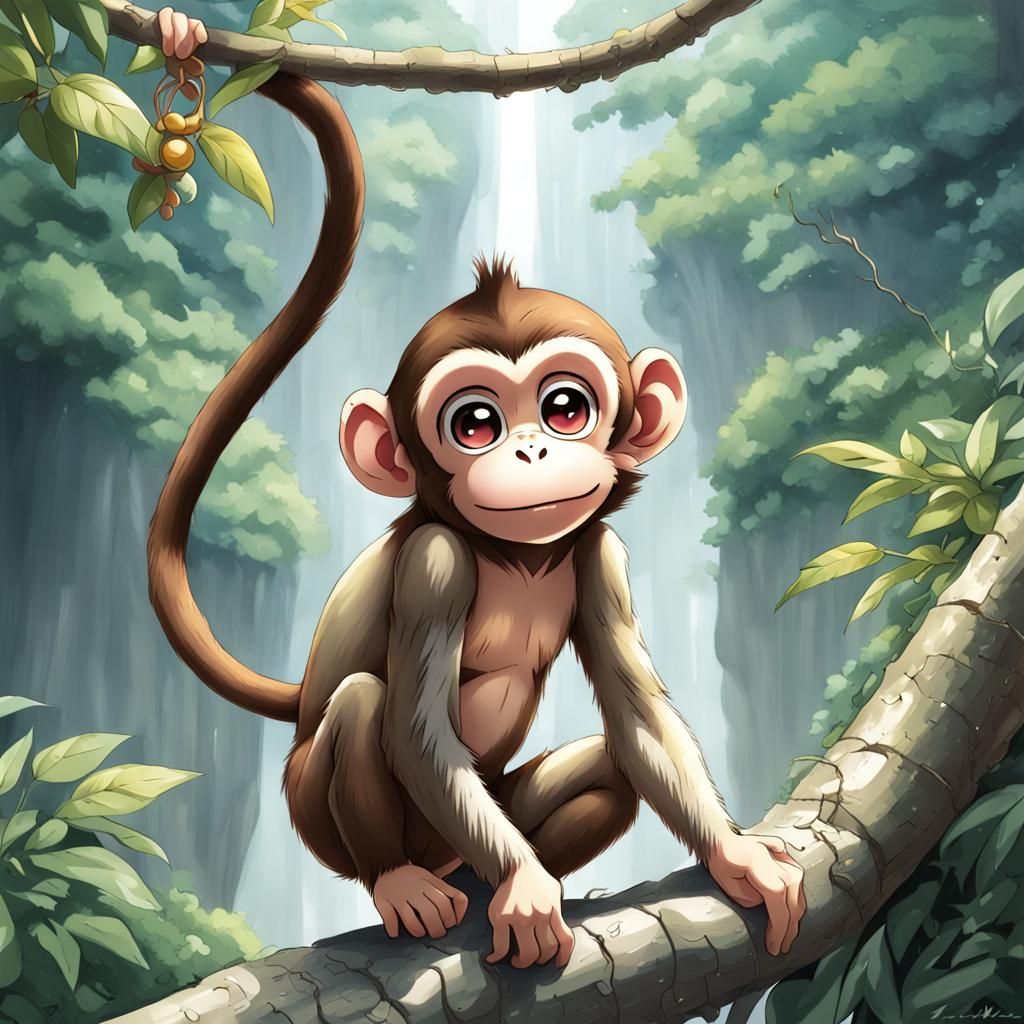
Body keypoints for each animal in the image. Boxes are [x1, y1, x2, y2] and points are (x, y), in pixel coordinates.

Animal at [148, 10, 806, 971]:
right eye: (475, 424)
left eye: (566, 408)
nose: (530, 451)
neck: (513, 557)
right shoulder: (432, 563)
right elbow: (417, 730)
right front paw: (527, 889)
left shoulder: (604, 558)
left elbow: (638, 720)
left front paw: (737, 858)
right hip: (319, 812)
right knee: (361, 705)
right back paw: (404, 883)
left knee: (605, 773)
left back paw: (487, 880)